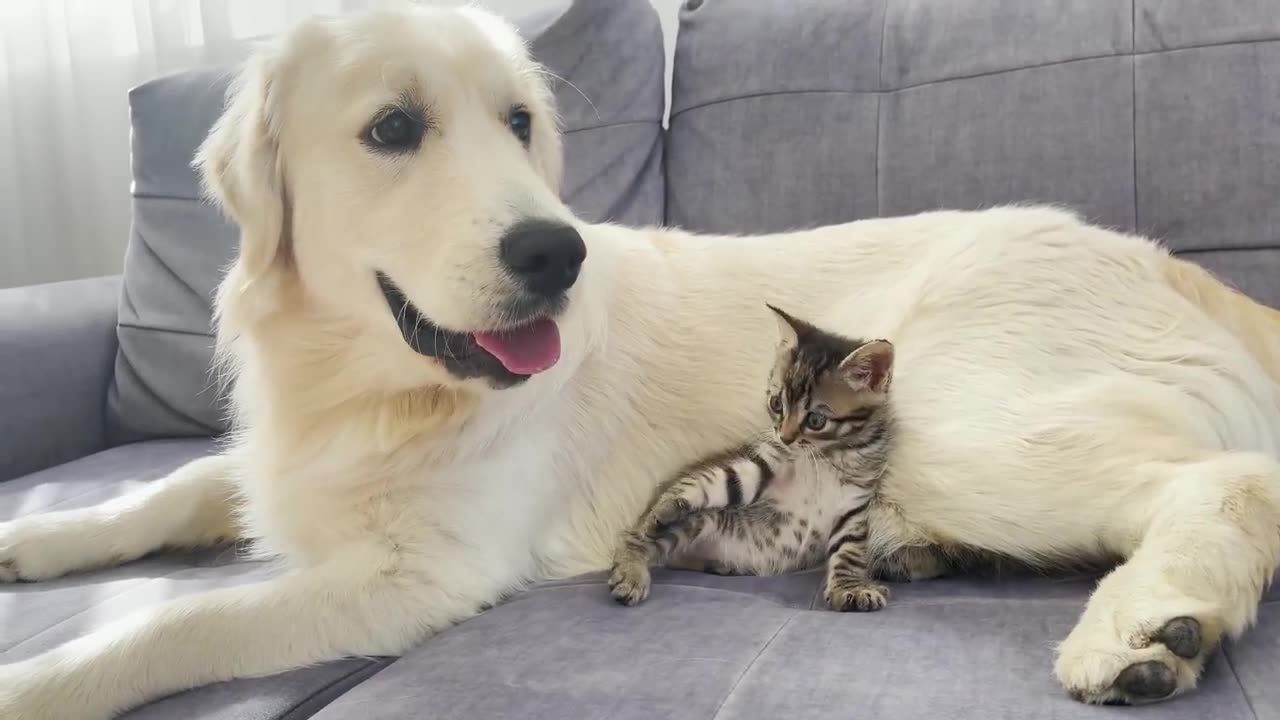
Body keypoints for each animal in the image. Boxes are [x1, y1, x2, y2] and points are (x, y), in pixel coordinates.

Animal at [606, 303, 890, 609]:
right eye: (776, 404)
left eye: (816, 420)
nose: (784, 436)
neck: (826, 455)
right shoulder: (765, 464)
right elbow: (720, 480)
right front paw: (668, 505)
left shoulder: (854, 506)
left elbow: (849, 550)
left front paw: (850, 587)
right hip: (698, 520)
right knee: (636, 536)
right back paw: (631, 571)